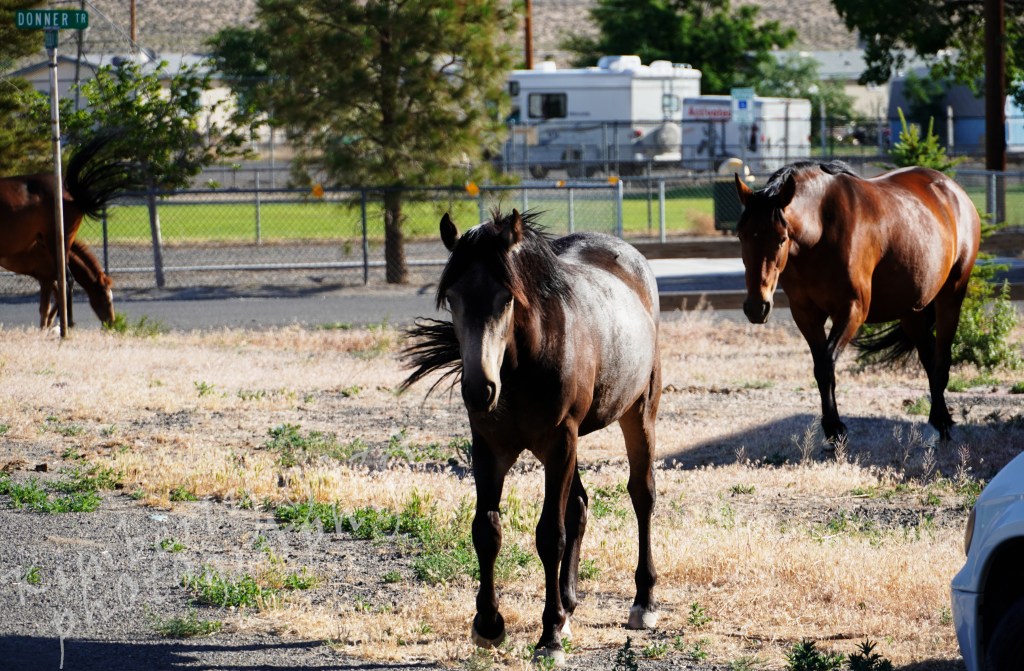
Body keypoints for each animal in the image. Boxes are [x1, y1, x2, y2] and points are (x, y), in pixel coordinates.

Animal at [0, 131, 141, 328]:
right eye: (106, 298)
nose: (111, 323)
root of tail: (73, 196)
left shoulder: (45, 277)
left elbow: (47, 305)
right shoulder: (45, 278)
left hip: (58, 241)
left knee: (67, 282)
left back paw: (67, 324)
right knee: (65, 284)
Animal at [403, 209, 661, 665]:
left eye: (507, 298)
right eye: (452, 297)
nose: (479, 389)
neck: (523, 364)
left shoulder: (560, 442)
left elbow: (549, 536)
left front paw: (549, 637)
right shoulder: (490, 448)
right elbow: (486, 529)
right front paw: (489, 624)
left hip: (638, 411)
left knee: (641, 495)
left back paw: (642, 602)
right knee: (580, 504)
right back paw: (569, 607)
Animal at [733, 160, 981, 442]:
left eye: (781, 238)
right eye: (741, 235)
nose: (757, 307)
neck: (821, 230)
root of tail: (954, 191)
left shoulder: (852, 310)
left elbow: (827, 363)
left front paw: (834, 428)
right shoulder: (805, 314)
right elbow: (821, 368)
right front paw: (831, 429)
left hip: (950, 297)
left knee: (942, 357)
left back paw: (941, 422)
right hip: (912, 312)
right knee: (929, 358)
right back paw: (938, 420)